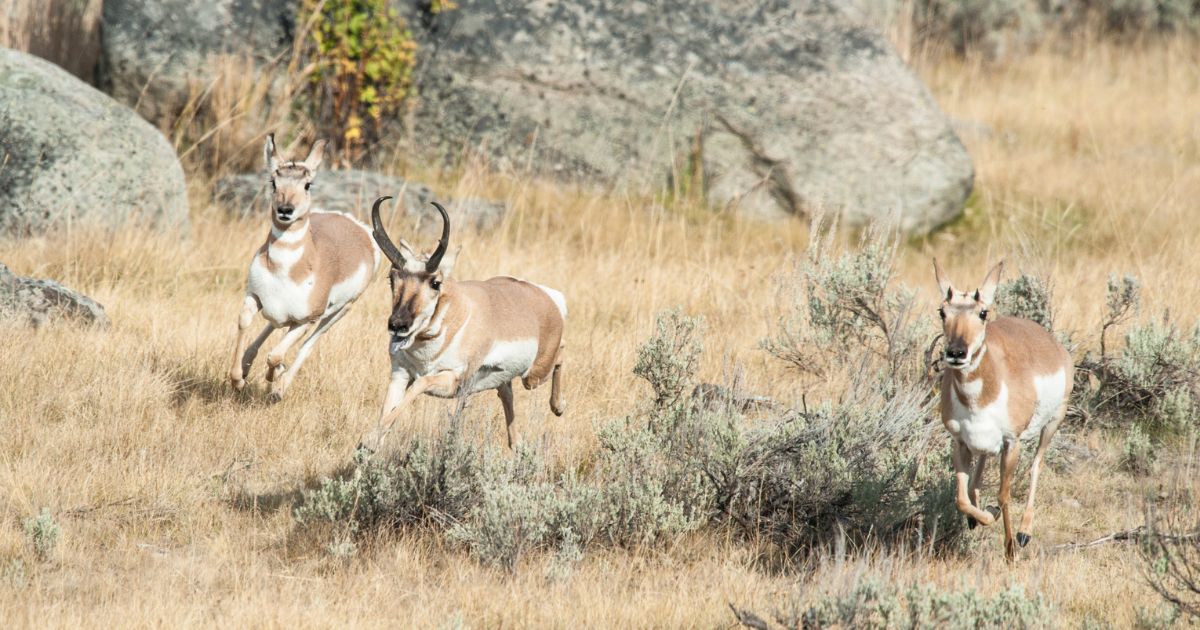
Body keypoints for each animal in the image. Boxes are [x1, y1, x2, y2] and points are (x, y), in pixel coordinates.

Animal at [228, 136, 379, 403]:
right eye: (273, 181)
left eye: (308, 184)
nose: (285, 209)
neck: (285, 270)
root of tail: (355, 225)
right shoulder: (254, 296)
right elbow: (244, 321)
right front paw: (238, 379)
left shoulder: (308, 319)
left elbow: (275, 355)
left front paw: (274, 379)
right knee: (273, 328)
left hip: (336, 314)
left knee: (307, 346)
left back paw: (279, 388)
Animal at [360, 196, 566, 446]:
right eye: (392, 278)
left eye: (435, 282)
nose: (398, 325)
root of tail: (544, 295)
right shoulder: (399, 375)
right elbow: (388, 411)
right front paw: (370, 443)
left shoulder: (450, 380)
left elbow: (420, 384)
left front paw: (369, 441)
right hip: (506, 380)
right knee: (507, 396)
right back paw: (517, 443)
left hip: (535, 374)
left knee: (561, 354)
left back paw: (559, 407)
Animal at [931, 260, 1075, 559]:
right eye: (942, 311)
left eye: (982, 312)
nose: (956, 353)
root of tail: (1050, 341)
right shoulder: (960, 443)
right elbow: (962, 498)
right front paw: (982, 516)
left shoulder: (1012, 443)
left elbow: (1003, 495)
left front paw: (1010, 549)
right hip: (984, 445)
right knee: (976, 481)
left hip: (1052, 424)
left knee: (1036, 465)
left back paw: (1024, 532)